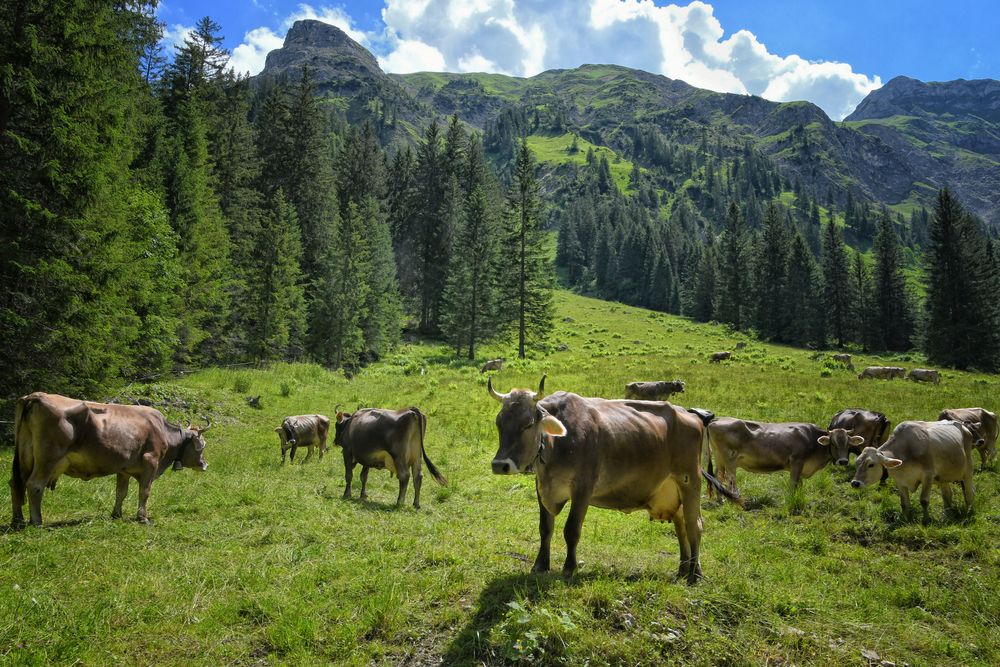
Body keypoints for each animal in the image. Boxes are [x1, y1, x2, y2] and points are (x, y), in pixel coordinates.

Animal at [8, 392, 211, 528]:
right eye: (202, 444)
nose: (205, 464)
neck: (162, 431)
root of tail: (36, 396)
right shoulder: (150, 463)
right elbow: (144, 492)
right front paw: (142, 518)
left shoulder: (124, 470)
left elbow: (121, 493)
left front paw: (116, 515)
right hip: (47, 459)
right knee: (35, 485)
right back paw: (37, 521)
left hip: (24, 458)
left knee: (16, 484)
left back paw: (17, 520)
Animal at [488, 376, 740, 584]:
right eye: (499, 423)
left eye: (528, 424)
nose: (500, 465)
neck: (558, 445)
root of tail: (692, 416)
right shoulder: (542, 488)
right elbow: (545, 528)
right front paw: (540, 565)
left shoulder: (583, 488)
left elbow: (571, 530)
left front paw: (569, 568)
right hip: (672, 490)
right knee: (681, 527)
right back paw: (683, 570)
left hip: (690, 481)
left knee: (694, 525)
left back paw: (694, 575)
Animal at [848, 422, 980, 520]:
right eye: (857, 463)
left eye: (871, 465)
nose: (855, 483)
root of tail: (964, 427)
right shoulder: (900, 481)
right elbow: (904, 503)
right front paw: (906, 518)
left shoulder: (928, 475)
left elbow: (924, 500)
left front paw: (926, 521)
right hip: (943, 477)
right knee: (947, 495)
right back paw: (946, 515)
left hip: (968, 472)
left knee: (970, 493)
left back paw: (968, 512)